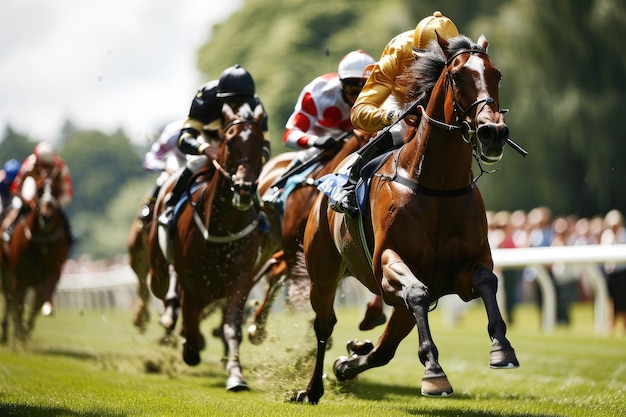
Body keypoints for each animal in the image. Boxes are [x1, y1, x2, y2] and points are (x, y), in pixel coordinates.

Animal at [0, 173, 71, 344]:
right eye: (39, 190)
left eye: (56, 190)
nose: (46, 216)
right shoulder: (19, 275)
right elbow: (17, 304)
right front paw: (19, 334)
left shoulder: (51, 274)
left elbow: (38, 304)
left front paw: (25, 332)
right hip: (6, 271)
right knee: (9, 299)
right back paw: (6, 333)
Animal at [147, 102, 280, 392]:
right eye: (230, 142)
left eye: (259, 143)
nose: (243, 188)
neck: (221, 226)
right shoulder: (192, 281)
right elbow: (190, 321)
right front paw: (191, 349)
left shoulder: (240, 279)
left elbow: (231, 327)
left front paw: (236, 374)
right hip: (160, 262)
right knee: (161, 282)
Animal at [294, 35, 520, 404]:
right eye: (457, 76)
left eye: (496, 75)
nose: (493, 132)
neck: (438, 186)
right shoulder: (388, 263)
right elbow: (415, 292)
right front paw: (434, 373)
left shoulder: (465, 267)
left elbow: (487, 281)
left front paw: (502, 348)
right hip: (323, 275)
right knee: (324, 325)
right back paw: (312, 389)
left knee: (383, 349)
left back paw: (348, 361)